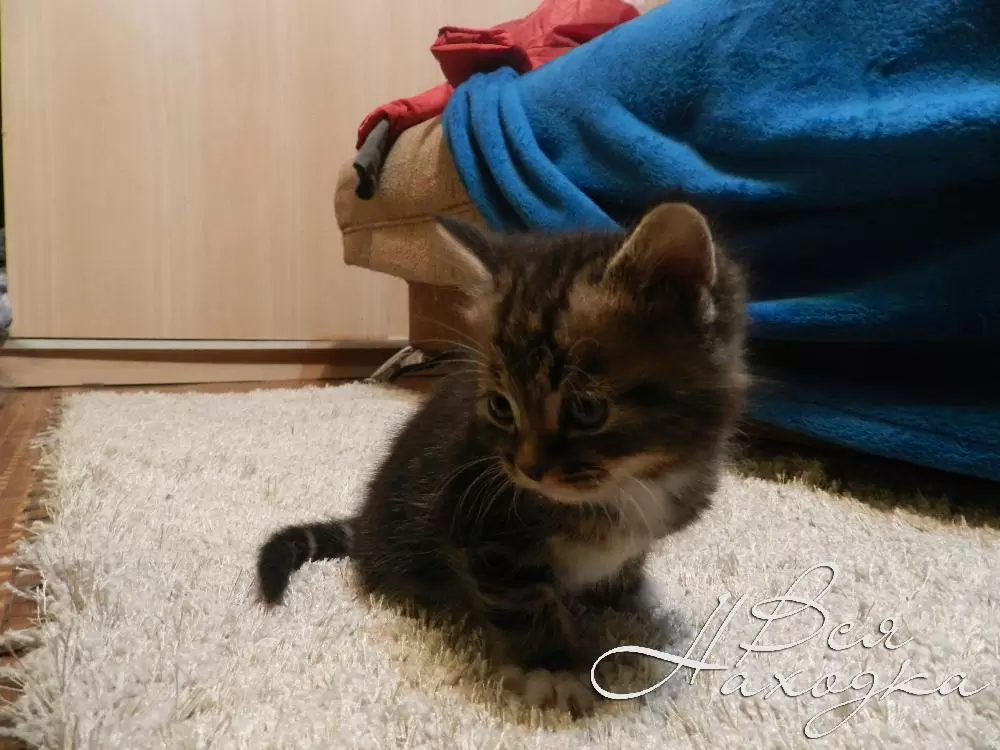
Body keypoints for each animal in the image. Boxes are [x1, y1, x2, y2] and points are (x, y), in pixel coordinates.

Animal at [256, 202, 748, 718]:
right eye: (500, 407)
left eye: (586, 409)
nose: (528, 470)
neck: (630, 484)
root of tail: (366, 520)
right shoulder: (483, 531)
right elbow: (524, 604)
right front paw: (551, 668)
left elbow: (627, 561)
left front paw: (627, 593)